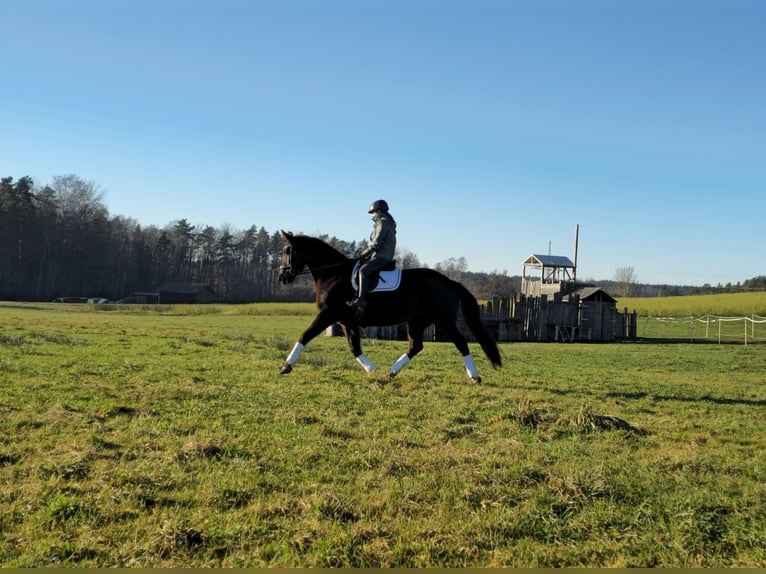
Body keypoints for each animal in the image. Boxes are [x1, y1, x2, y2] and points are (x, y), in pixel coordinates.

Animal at [276, 230, 504, 382]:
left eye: (287, 250)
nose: (281, 276)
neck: (333, 274)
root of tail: (448, 282)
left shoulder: (328, 314)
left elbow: (305, 335)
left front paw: (286, 366)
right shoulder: (346, 320)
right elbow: (354, 347)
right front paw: (372, 369)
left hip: (443, 321)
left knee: (461, 343)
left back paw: (474, 376)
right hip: (417, 321)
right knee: (415, 346)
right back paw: (392, 371)